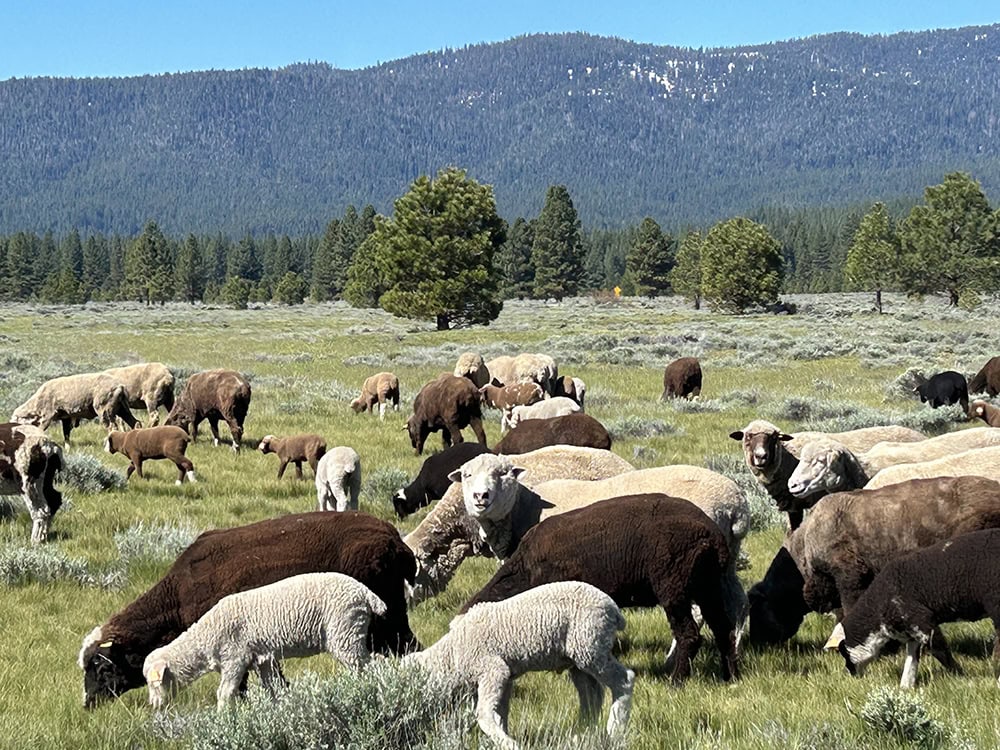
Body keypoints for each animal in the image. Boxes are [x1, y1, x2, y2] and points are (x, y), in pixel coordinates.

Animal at [143, 572, 387, 709]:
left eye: (153, 683)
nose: (154, 706)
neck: (207, 636)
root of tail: (367, 594)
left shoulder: (235, 658)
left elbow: (225, 693)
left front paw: (223, 719)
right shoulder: (262, 659)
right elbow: (273, 688)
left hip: (344, 630)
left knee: (369, 666)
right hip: (350, 632)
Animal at [406, 581, 634, 750]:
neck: (453, 652)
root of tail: (614, 610)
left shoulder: (493, 669)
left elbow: (484, 713)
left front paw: (509, 743)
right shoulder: (505, 677)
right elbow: (500, 713)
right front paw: (501, 737)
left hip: (590, 645)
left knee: (623, 681)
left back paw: (614, 731)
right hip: (578, 657)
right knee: (592, 694)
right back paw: (582, 732)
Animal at [463, 494, 740, 685]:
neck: (525, 570)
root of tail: (713, 536)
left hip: (675, 589)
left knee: (689, 635)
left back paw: (676, 680)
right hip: (709, 587)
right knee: (724, 629)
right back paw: (731, 677)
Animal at [730, 420, 926, 529]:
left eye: (773, 437)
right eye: (748, 437)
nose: (761, 456)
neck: (787, 456)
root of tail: (920, 434)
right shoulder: (793, 506)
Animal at [834, 529, 1000, 688]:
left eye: (844, 652)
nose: (850, 672)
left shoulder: (922, 621)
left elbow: (940, 650)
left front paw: (961, 675)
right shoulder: (911, 632)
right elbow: (911, 661)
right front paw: (905, 687)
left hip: (995, 602)